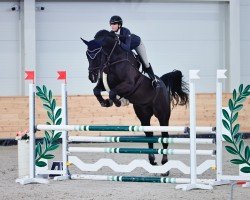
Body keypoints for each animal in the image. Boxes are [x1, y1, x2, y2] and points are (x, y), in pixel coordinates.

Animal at [81, 30, 188, 175]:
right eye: (87, 55)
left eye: (98, 54)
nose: (91, 77)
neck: (113, 59)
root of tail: (163, 84)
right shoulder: (105, 84)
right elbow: (96, 90)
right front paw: (106, 102)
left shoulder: (129, 85)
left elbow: (112, 92)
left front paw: (117, 101)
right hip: (143, 114)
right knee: (149, 135)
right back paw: (152, 161)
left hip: (163, 114)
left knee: (164, 137)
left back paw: (165, 167)